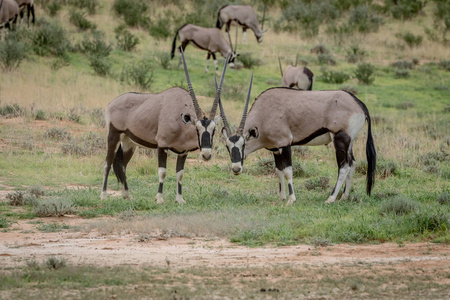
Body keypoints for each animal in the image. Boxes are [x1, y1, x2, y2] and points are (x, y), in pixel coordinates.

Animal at [101, 49, 229, 204]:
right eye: (197, 129)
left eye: (213, 130)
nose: (206, 155)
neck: (180, 119)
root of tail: (111, 103)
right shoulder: (162, 146)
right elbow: (162, 172)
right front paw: (159, 198)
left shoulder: (183, 152)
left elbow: (180, 174)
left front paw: (180, 199)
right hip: (114, 135)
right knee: (107, 163)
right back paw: (103, 195)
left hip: (129, 142)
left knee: (122, 165)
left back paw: (127, 195)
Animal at [218, 81, 376, 205]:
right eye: (227, 146)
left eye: (243, 144)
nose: (236, 169)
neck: (264, 113)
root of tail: (359, 104)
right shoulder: (276, 149)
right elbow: (279, 171)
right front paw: (281, 197)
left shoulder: (285, 144)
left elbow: (288, 171)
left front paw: (291, 199)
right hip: (350, 142)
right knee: (352, 164)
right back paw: (344, 197)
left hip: (340, 139)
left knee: (344, 166)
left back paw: (331, 198)